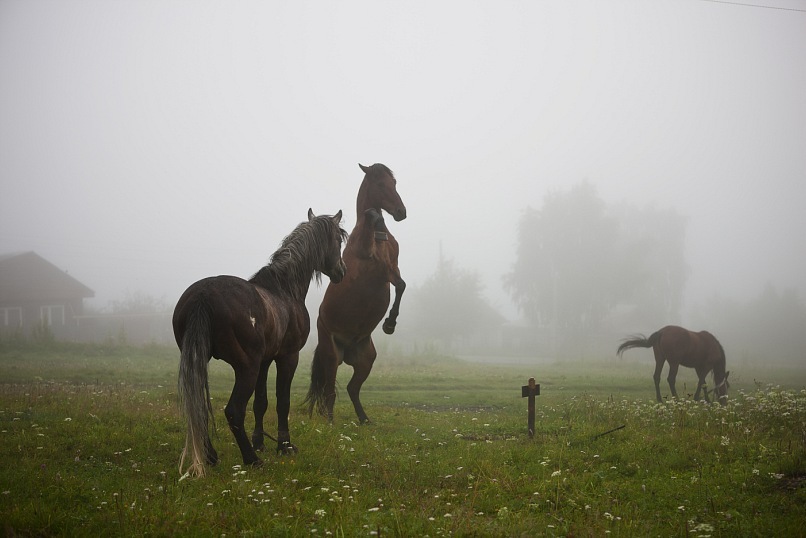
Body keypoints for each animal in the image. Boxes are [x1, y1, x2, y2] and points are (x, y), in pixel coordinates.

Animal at [174, 209, 344, 478]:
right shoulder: (288, 357)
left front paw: (260, 443)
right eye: (338, 240)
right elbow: (282, 402)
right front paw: (284, 446)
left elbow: (261, 403)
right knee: (233, 410)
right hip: (246, 368)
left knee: (200, 406)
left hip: (203, 361)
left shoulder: (265, 361)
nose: (342, 271)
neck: (284, 288)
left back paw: (212, 456)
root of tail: (204, 295)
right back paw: (251, 460)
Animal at [306, 161, 408, 420]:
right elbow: (400, 285)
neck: (377, 237)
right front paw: (389, 324)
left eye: (394, 183)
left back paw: (364, 419)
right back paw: (329, 420)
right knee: (330, 391)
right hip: (331, 355)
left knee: (352, 388)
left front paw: (390, 324)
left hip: (366, 359)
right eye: (380, 184)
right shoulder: (377, 272)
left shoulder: (392, 269)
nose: (401, 212)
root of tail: (347, 350)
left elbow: (401, 286)